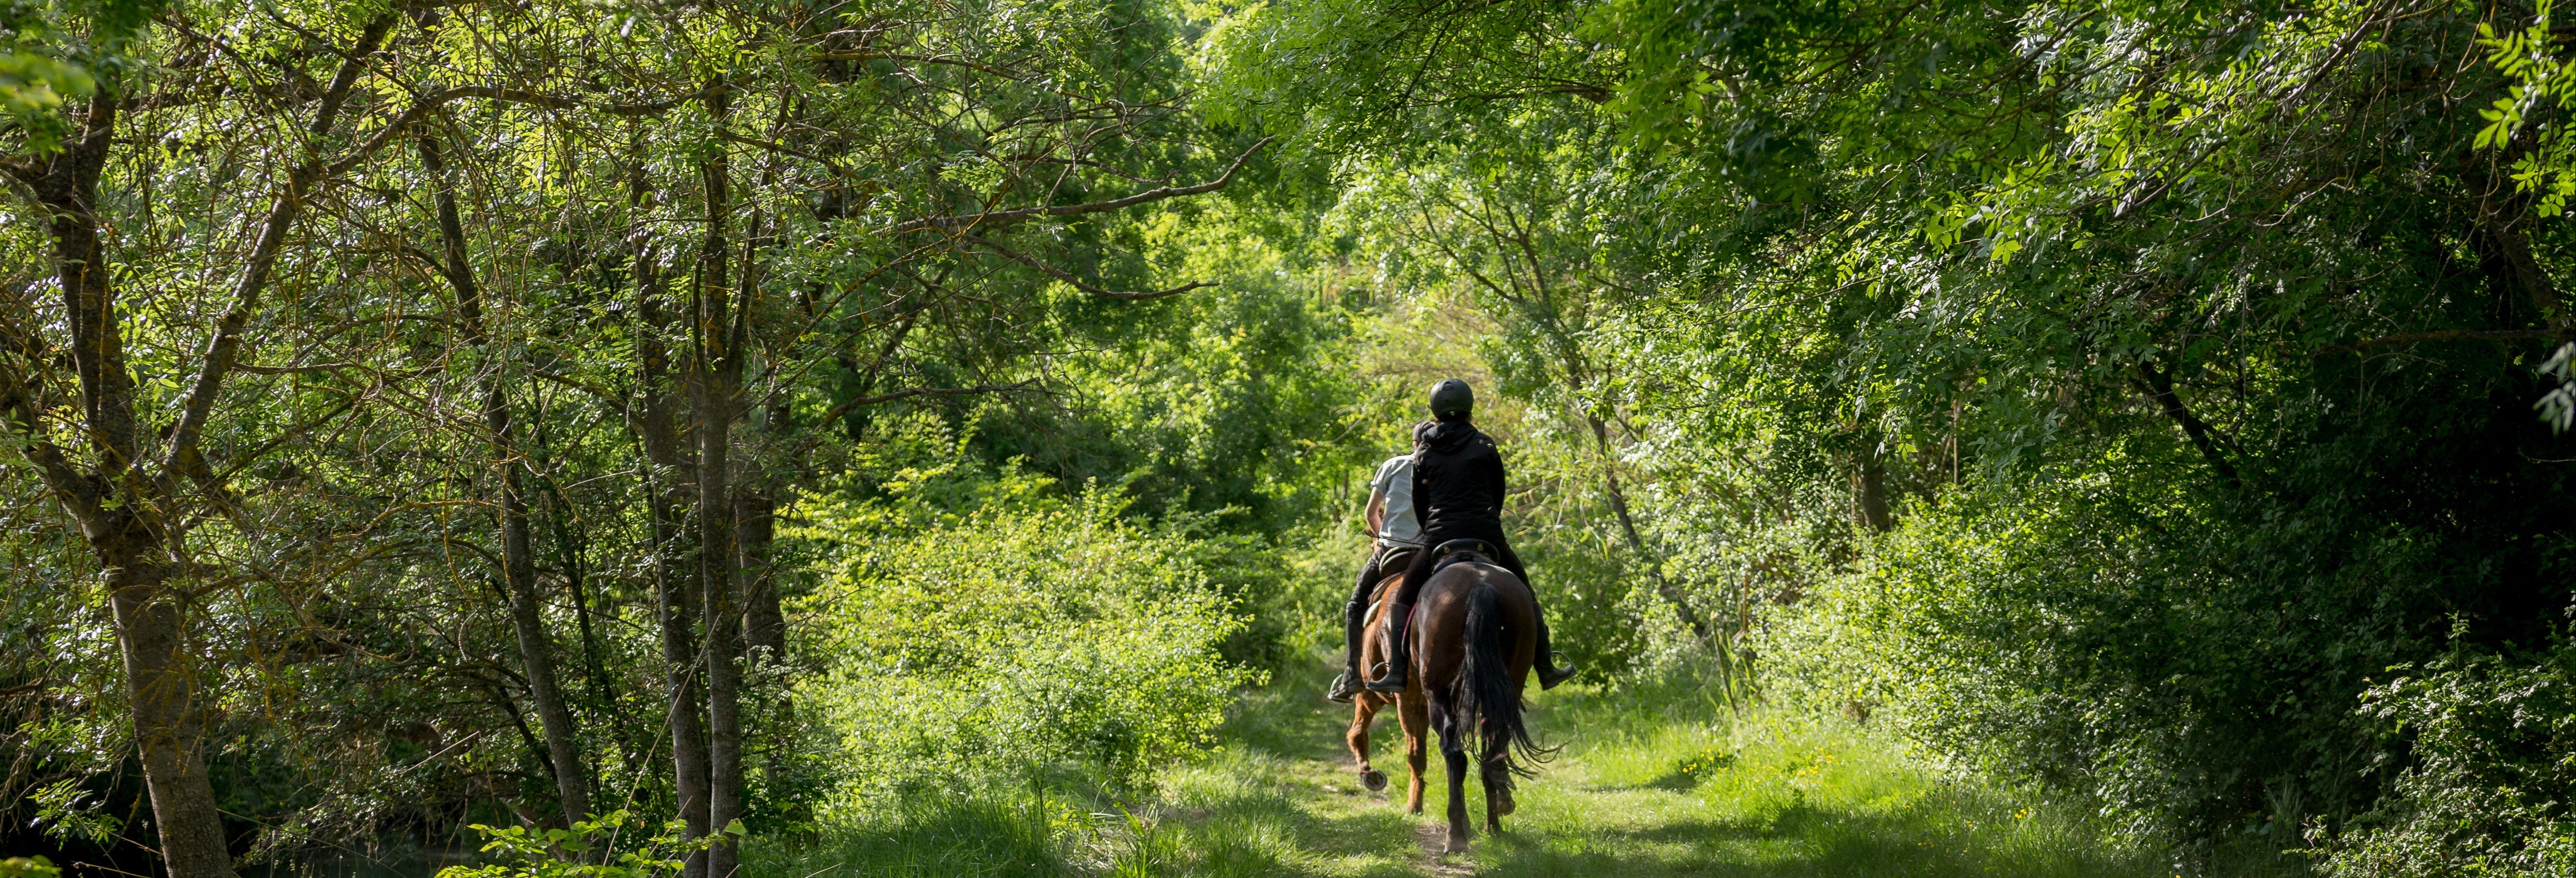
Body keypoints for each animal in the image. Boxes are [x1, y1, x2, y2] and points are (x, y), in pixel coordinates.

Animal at [1349, 543, 1545, 850]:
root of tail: (1481, 585)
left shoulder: (1385, 695)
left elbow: (1367, 736)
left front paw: (1379, 781)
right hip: (1507, 683)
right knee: (1492, 749)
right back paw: (1495, 823)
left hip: (1428, 695)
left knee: (1447, 753)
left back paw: (1454, 835)